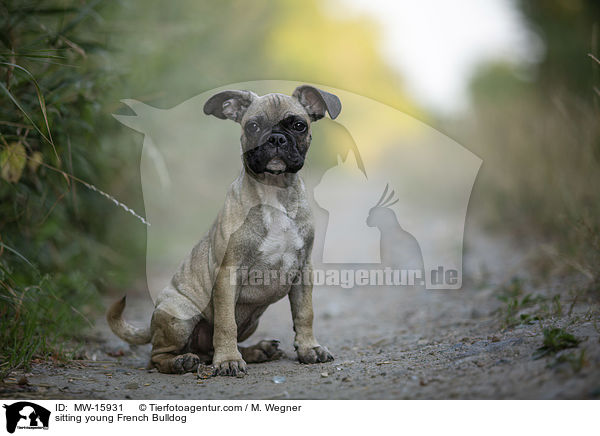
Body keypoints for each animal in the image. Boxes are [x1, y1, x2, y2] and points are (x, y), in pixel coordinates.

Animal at [108, 84, 342, 374]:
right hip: (180, 316)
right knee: (158, 356)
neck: (273, 191)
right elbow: (225, 323)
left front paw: (309, 348)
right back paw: (182, 361)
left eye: (299, 125)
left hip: (250, 322)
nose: (276, 139)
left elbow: (304, 313)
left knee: (208, 349)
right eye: (253, 126)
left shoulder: (303, 272)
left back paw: (257, 351)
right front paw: (228, 360)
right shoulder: (228, 275)